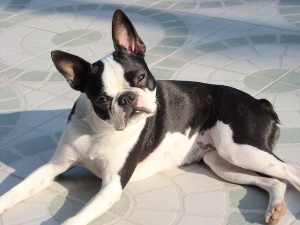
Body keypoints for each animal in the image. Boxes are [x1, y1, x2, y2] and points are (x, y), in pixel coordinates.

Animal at [0, 8, 300, 225]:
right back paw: (275, 208)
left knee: (289, 171)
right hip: (221, 162)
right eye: (101, 99)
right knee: (273, 181)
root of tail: (259, 102)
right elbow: (17, 190)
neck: (100, 129)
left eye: (141, 77)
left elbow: (76, 218)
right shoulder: (53, 166)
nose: (127, 98)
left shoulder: (112, 185)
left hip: (239, 147)